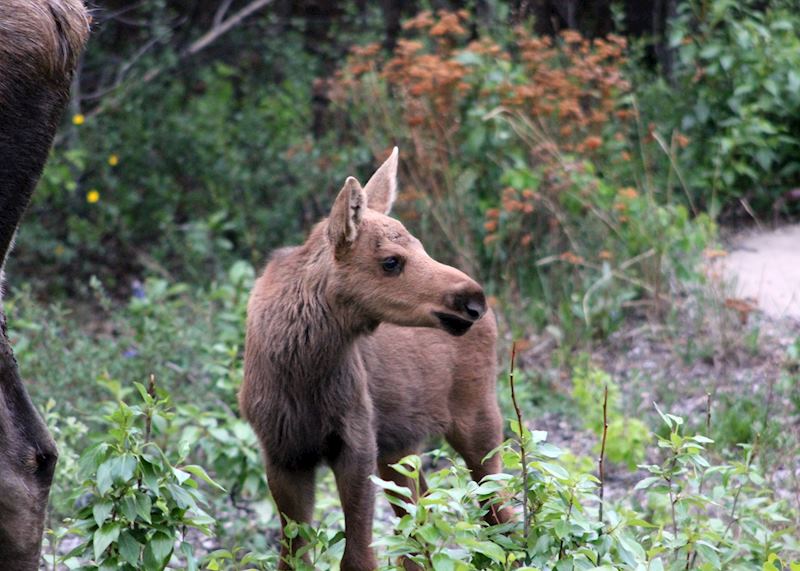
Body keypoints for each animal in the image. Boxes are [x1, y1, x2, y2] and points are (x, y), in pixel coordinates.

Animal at [240, 148, 513, 571]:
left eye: (421, 246)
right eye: (390, 261)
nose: (472, 300)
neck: (300, 371)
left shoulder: (357, 439)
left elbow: (358, 556)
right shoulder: (282, 452)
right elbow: (293, 556)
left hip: (478, 416)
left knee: (502, 516)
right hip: (400, 445)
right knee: (422, 523)